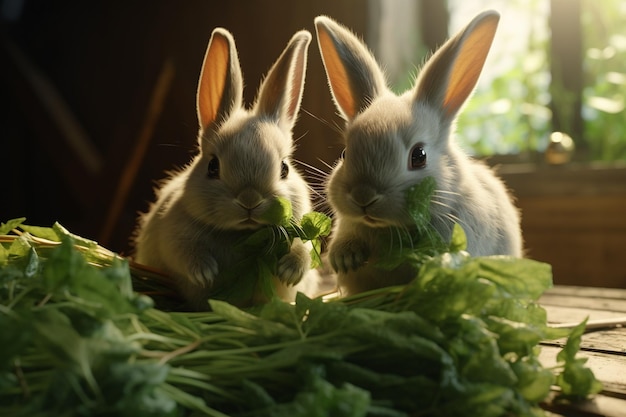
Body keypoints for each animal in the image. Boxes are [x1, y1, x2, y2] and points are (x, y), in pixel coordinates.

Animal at [133, 28, 316, 308]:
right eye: (212, 167)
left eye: (284, 168)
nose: (250, 200)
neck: (240, 234)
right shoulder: (172, 235)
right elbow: (183, 252)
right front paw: (205, 272)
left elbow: (301, 249)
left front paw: (290, 271)